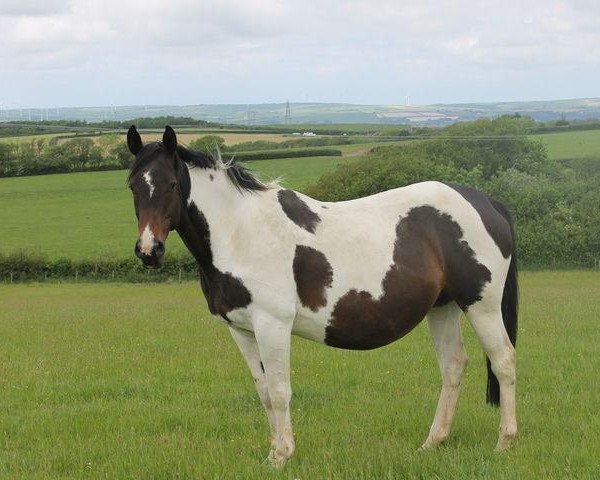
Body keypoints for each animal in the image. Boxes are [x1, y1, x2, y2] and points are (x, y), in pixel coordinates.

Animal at [125, 125, 516, 466]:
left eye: (171, 184)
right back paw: (433, 442)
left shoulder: (272, 325)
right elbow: (264, 393)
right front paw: (272, 452)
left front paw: (282, 456)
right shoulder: (242, 330)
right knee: (453, 366)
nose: (149, 251)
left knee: (503, 361)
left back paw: (504, 443)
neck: (240, 232)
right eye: (132, 186)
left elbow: (280, 391)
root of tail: (487, 201)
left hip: (481, 305)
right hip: (443, 307)